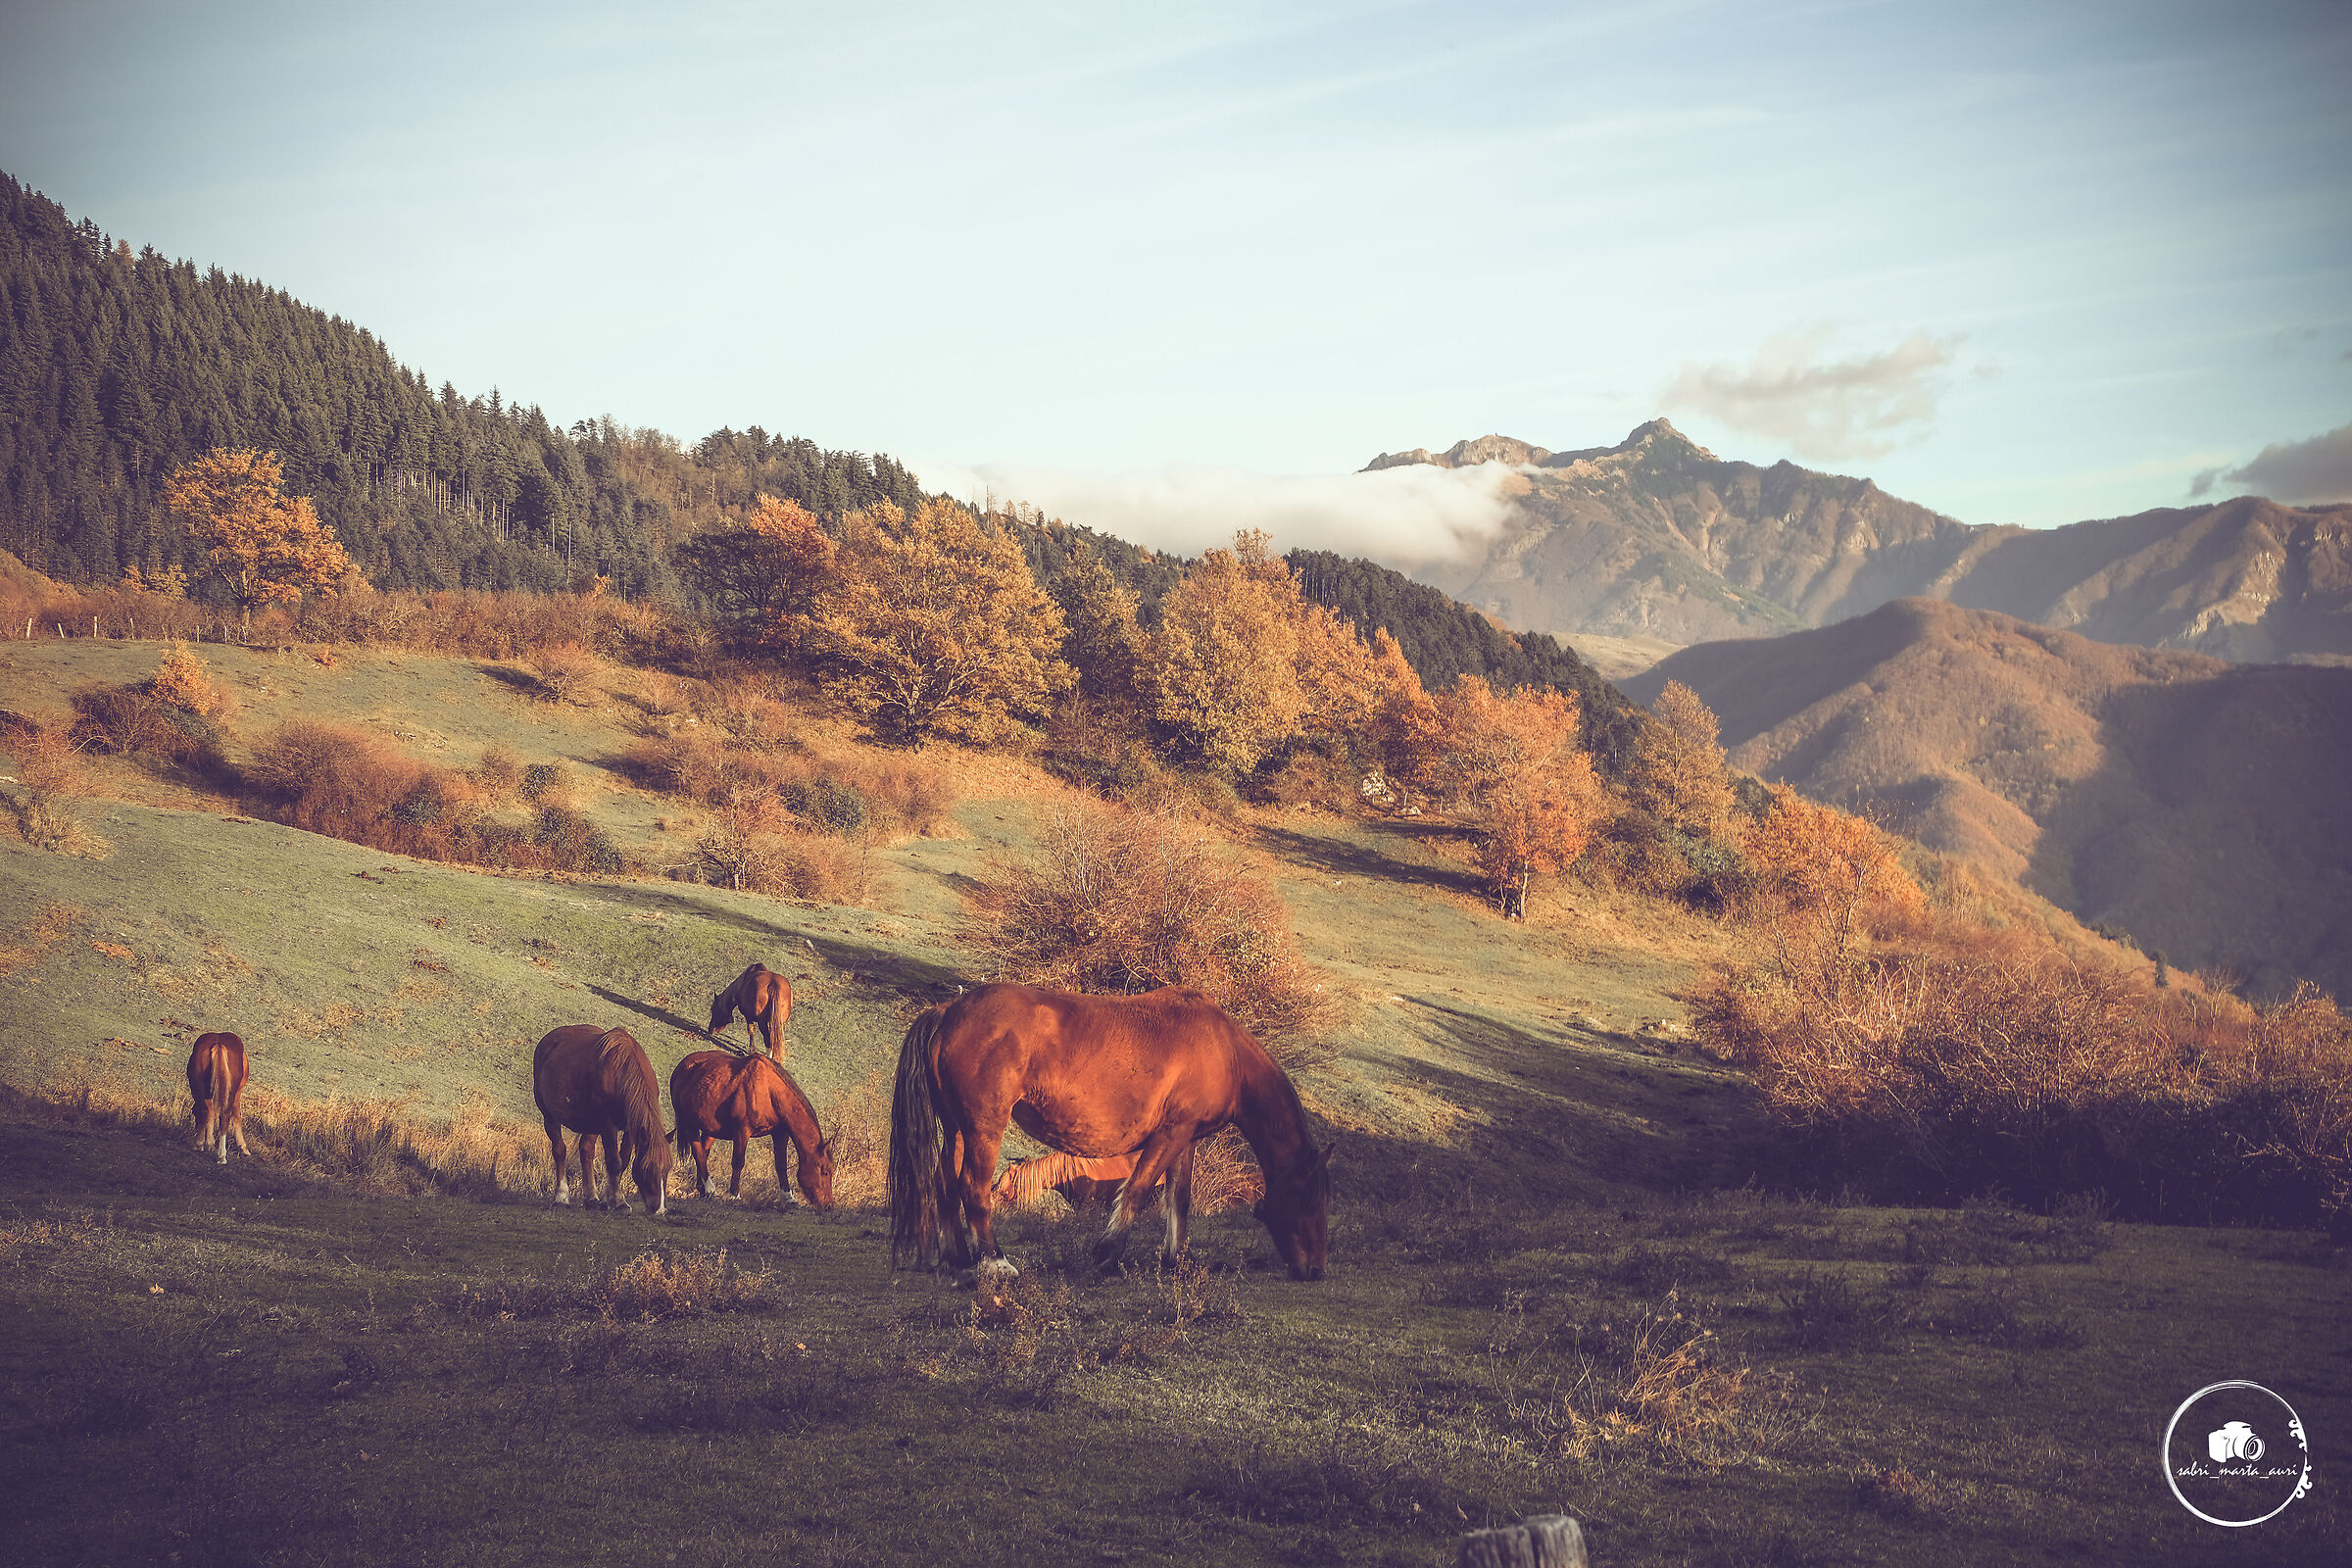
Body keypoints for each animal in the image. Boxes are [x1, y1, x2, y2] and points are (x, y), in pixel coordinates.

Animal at [186, 1032, 251, 1165]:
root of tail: (219, 1043)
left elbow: (211, 1112)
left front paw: (209, 1142)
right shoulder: (237, 1092)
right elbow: (236, 1116)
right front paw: (243, 1146)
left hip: (202, 1087)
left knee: (207, 1111)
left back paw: (201, 1145)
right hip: (230, 1092)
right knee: (224, 1116)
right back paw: (220, 1154)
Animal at [531, 1025, 674, 1216]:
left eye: (667, 1168)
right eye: (647, 1168)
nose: (660, 1209)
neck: (621, 1072)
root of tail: (549, 1039)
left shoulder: (630, 1127)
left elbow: (623, 1160)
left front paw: (608, 1200)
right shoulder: (608, 1125)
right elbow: (614, 1161)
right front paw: (620, 1202)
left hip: (592, 1125)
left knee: (586, 1151)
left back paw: (591, 1197)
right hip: (549, 1116)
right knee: (559, 1150)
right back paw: (561, 1197)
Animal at [668, 1050, 835, 1207]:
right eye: (824, 1171)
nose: (827, 1205)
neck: (769, 1091)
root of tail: (682, 1067)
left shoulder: (780, 1133)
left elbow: (781, 1165)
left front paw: (789, 1198)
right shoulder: (742, 1131)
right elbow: (738, 1162)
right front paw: (734, 1195)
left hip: (710, 1128)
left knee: (704, 1150)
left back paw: (702, 1188)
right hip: (689, 1122)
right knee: (698, 1152)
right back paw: (709, 1188)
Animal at [888, 983, 1330, 1280]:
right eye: (1309, 1197)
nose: (1314, 1269)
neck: (1224, 1050)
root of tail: (948, 1010)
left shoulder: (1186, 1139)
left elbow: (1178, 1199)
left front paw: (1176, 1259)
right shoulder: (1170, 1135)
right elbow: (1136, 1190)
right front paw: (1107, 1252)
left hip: (957, 1128)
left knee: (945, 1183)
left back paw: (957, 1259)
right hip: (984, 1127)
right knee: (973, 1187)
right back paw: (996, 1262)